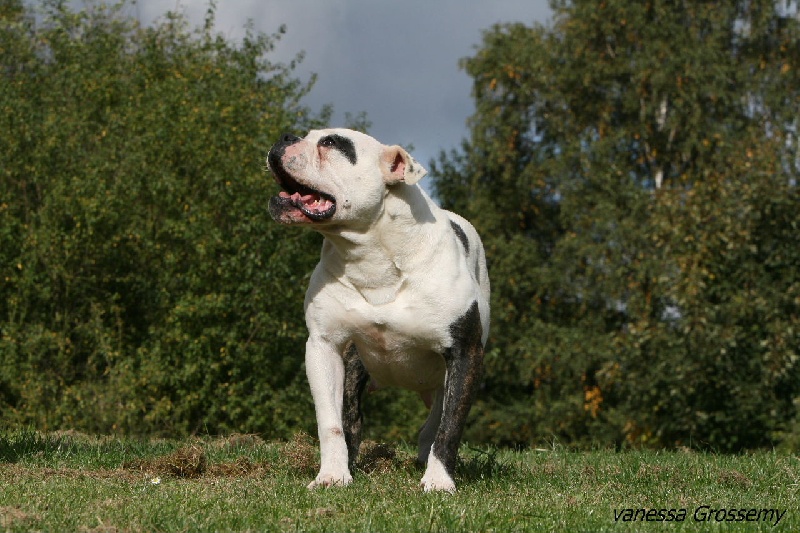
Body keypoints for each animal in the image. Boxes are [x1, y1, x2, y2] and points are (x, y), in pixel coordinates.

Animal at [268, 128, 488, 490]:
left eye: (331, 143)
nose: (285, 136)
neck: (371, 253)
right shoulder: (324, 346)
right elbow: (330, 422)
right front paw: (331, 475)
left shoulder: (464, 352)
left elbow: (450, 426)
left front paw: (439, 481)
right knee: (352, 420)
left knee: (435, 420)